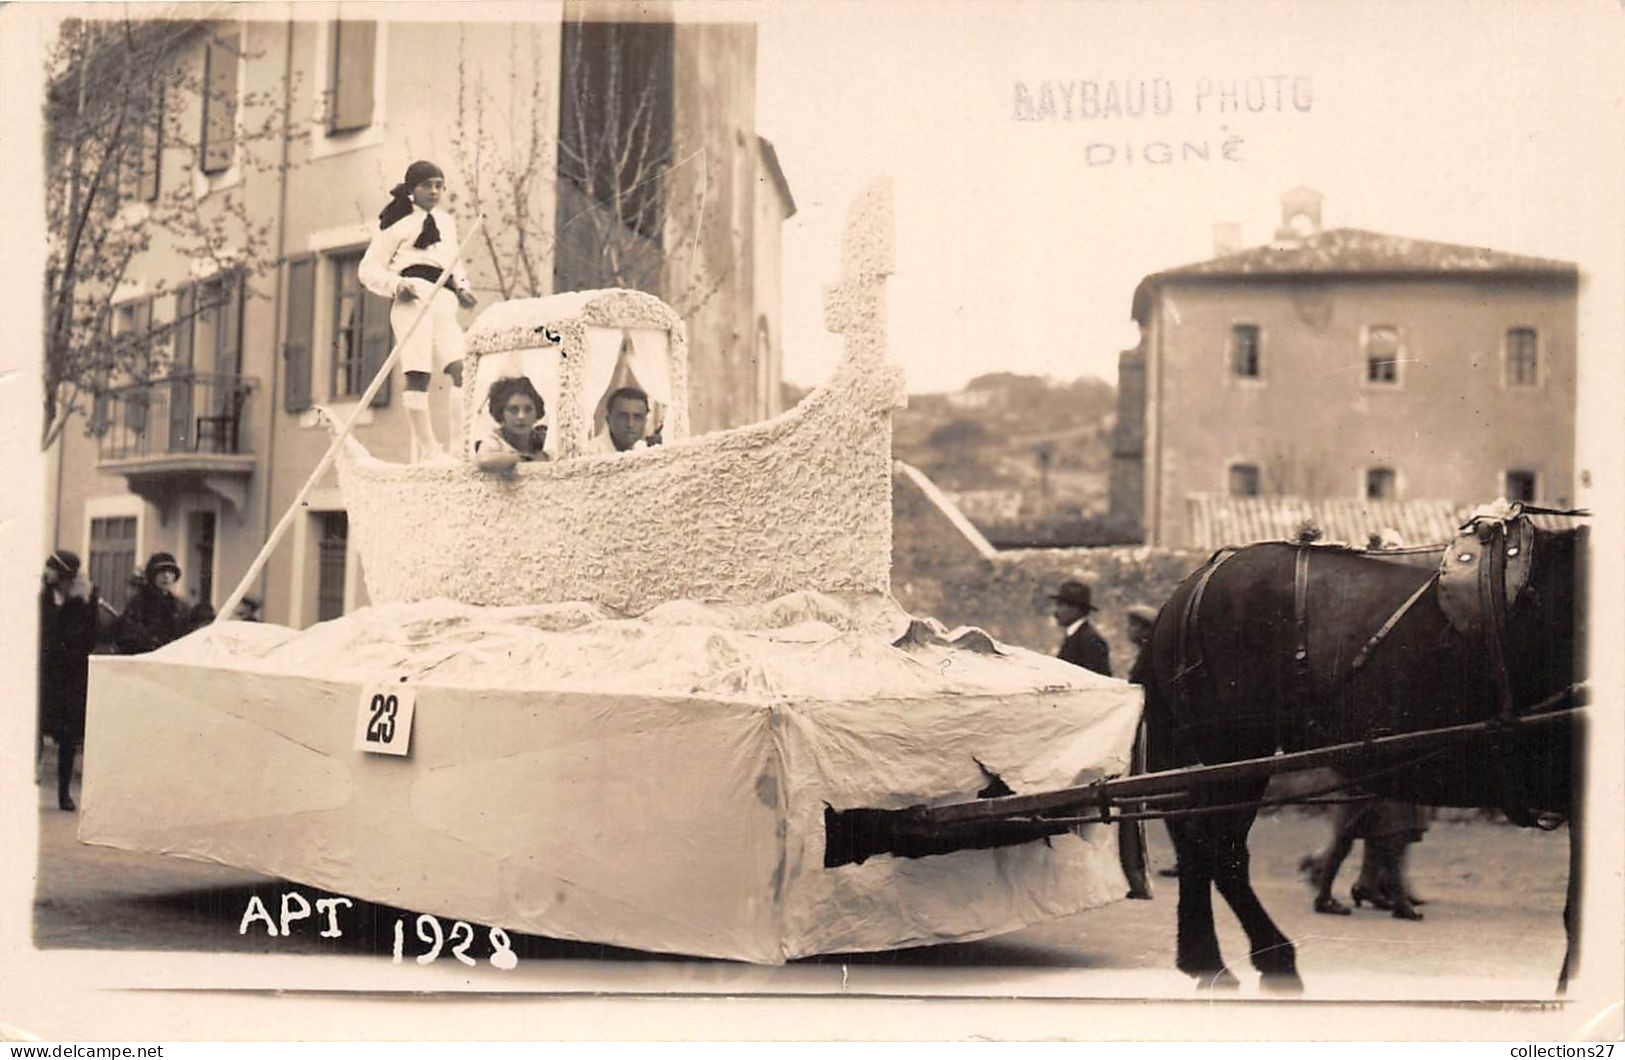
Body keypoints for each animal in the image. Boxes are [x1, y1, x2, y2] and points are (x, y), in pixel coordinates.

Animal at [1144, 510, 1586, 988]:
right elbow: (1575, 912)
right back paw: (1272, 959)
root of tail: (1192, 586)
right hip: (1235, 750)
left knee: (1194, 840)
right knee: (1219, 849)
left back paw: (1206, 959)